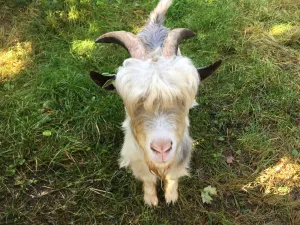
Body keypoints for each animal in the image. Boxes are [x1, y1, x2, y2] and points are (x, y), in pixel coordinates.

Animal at [90, 0, 221, 207]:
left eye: (183, 100)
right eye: (129, 102)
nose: (162, 149)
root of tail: (154, 25)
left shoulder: (181, 152)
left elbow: (173, 176)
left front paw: (171, 196)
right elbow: (147, 179)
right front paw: (150, 199)